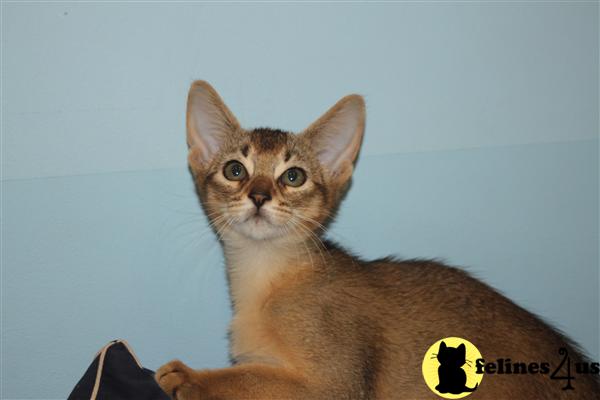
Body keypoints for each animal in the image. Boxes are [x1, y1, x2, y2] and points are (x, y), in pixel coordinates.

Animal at [156, 82, 600, 400]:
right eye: (235, 170)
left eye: (293, 176)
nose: (260, 196)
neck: (264, 280)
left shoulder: (334, 384)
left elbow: (246, 380)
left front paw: (188, 377)